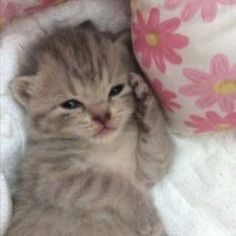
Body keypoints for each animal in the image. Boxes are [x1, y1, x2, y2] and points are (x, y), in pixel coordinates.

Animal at [6, 22, 171, 236]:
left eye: (116, 90)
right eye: (70, 104)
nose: (102, 116)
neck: (106, 145)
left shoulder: (147, 170)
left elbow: (156, 142)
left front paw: (144, 96)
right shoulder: (52, 177)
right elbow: (110, 183)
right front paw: (144, 214)